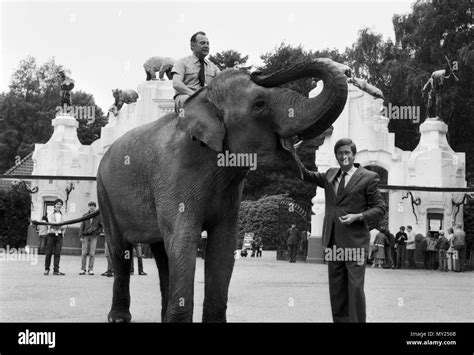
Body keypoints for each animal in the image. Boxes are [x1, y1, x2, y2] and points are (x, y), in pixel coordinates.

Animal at [97, 57, 348, 322]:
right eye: (259, 104)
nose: (258, 71)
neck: (204, 100)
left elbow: (224, 245)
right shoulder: (173, 174)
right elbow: (183, 239)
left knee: (161, 253)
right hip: (104, 191)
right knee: (119, 249)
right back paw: (118, 317)